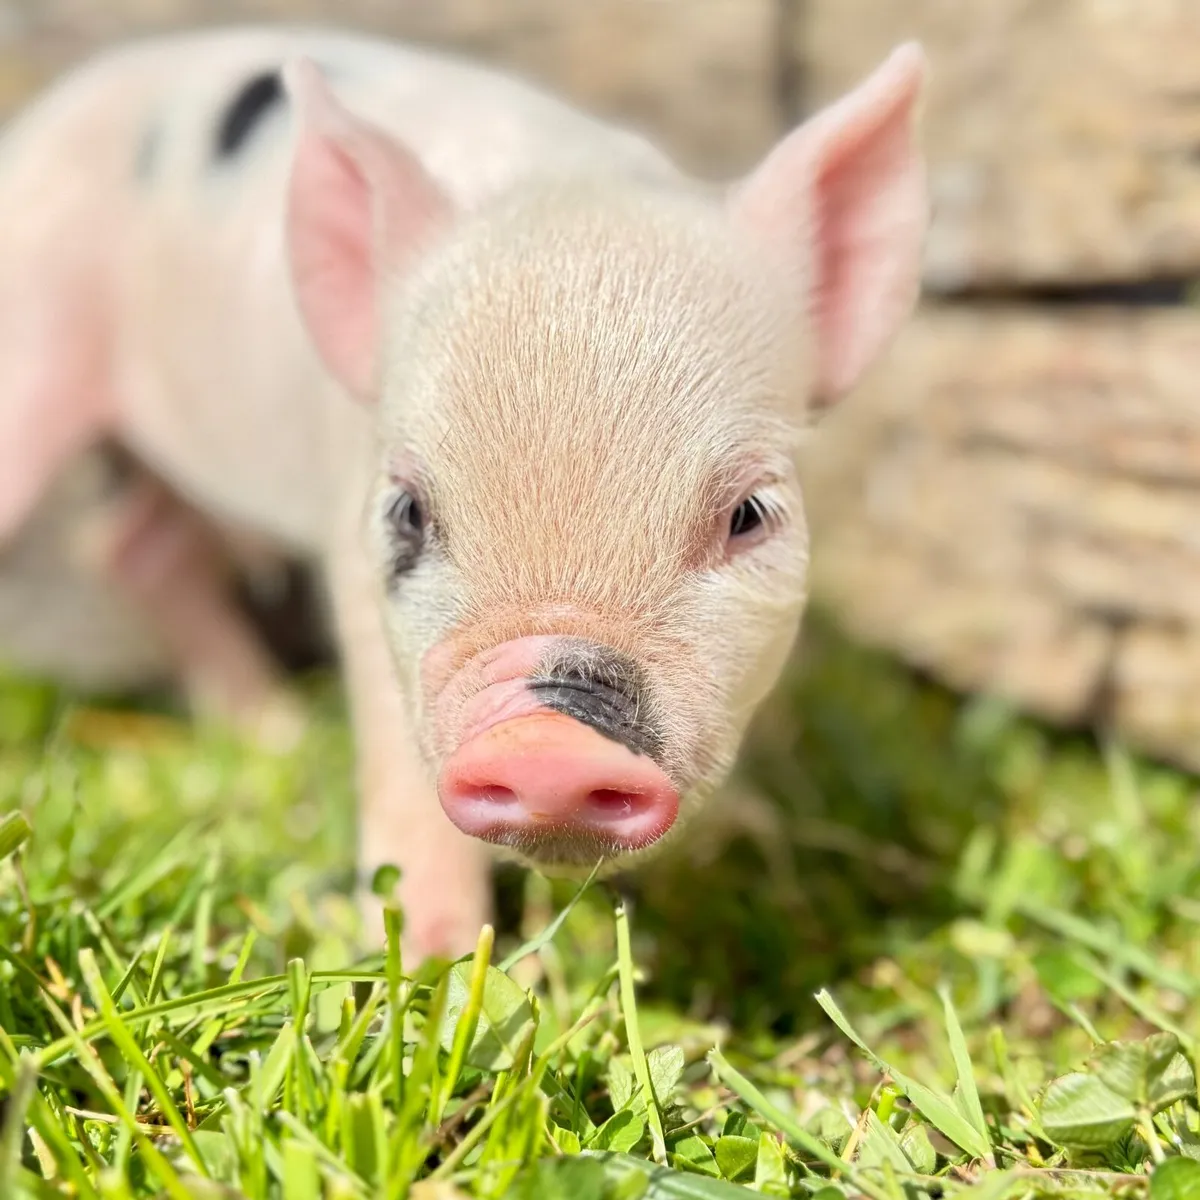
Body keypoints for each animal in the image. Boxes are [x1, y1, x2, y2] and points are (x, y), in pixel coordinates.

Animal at [0, 26, 928, 960]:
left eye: (749, 515)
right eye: (409, 510)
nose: (551, 744)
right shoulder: (353, 552)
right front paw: (430, 961)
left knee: (129, 547)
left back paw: (273, 733)